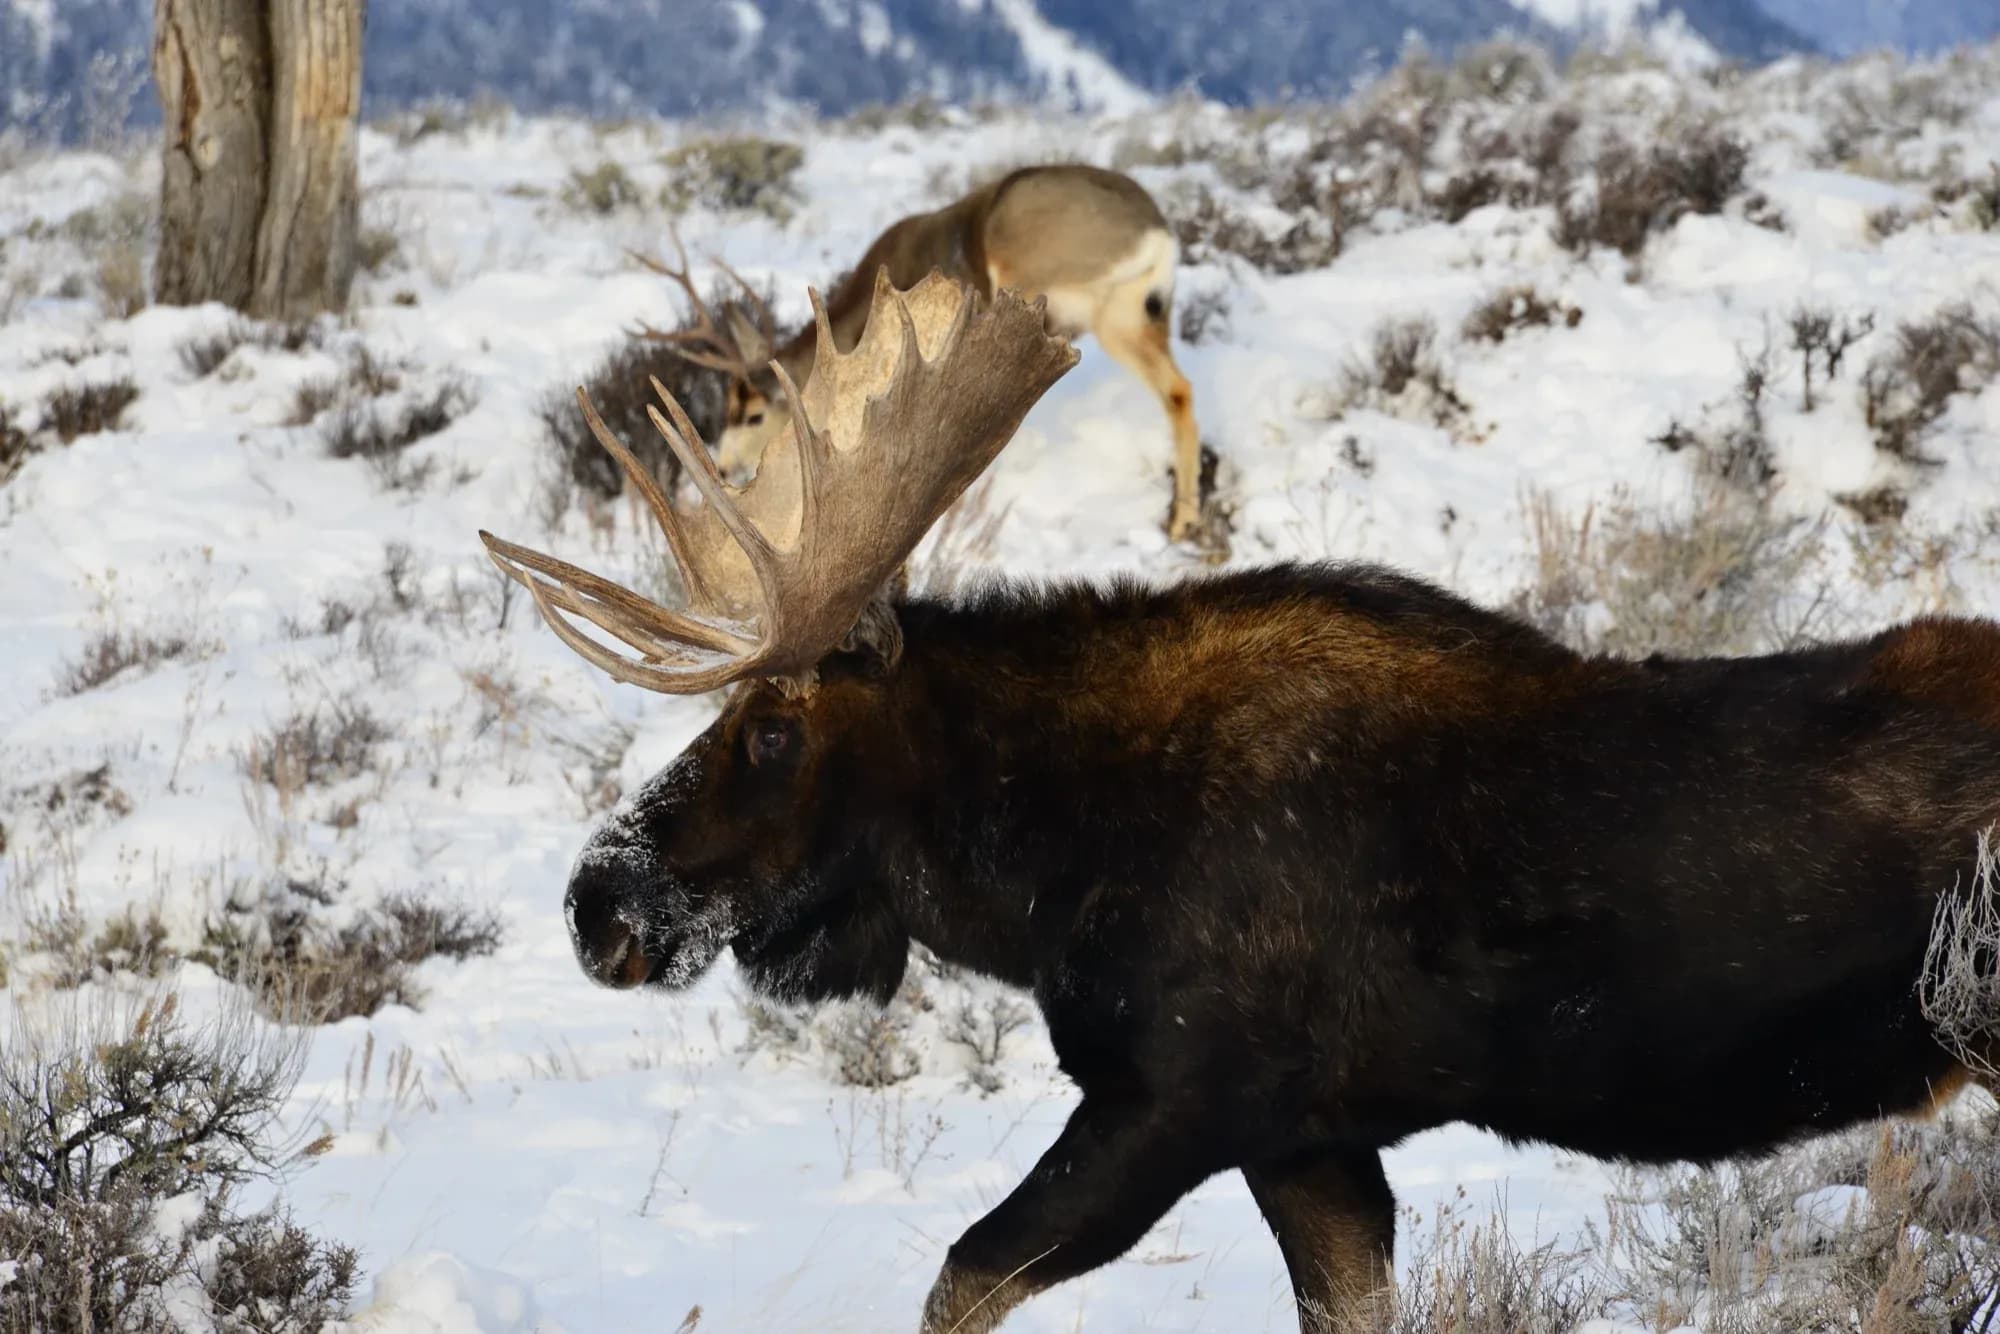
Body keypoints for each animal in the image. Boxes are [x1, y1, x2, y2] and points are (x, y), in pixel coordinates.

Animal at [482, 269, 2000, 1333]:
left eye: (774, 724)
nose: (596, 902)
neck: (1039, 873)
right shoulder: (1314, 1145)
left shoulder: (1175, 1103)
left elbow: (959, 1276)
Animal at [636, 163, 1208, 542]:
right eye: (725, 409)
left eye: (754, 414)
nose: (725, 466)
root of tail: (1157, 233)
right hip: (1138, 314)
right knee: (1179, 388)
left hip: (1062, 298)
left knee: (1178, 389)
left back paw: (1182, 520)